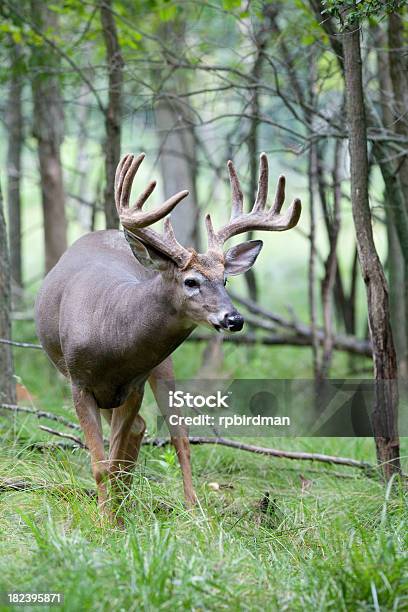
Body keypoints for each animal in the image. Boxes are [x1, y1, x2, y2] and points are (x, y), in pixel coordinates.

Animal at [35, 151, 302, 520]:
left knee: (177, 436)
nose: (234, 319)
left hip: (163, 366)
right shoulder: (80, 383)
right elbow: (101, 464)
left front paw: (114, 517)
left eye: (225, 280)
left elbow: (117, 456)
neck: (111, 334)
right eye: (191, 281)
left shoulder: (132, 385)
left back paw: (190, 509)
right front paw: (106, 521)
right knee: (139, 433)